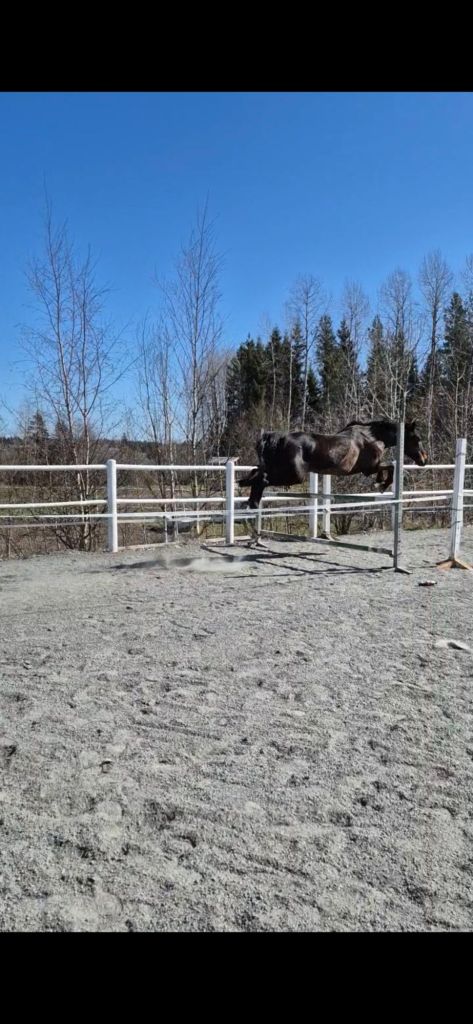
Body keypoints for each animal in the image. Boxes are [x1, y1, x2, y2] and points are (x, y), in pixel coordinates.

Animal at [238, 419, 428, 509]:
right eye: (417, 438)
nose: (424, 460)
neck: (373, 437)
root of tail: (279, 439)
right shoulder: (368, 468)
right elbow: (391, 466)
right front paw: (381, 485)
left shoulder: (369, 469)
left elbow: (387, 467)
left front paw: (379, 482)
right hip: (294, 476)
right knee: (262, 478)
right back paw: (252, 502)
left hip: (276, 468)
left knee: (255, 474)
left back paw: (251, 502)